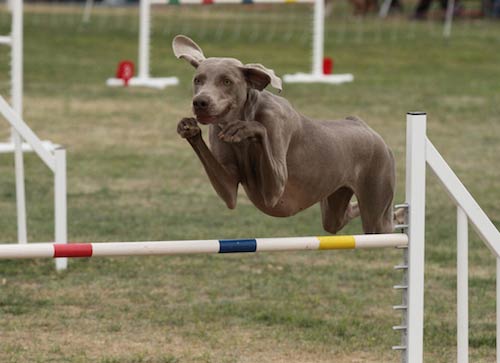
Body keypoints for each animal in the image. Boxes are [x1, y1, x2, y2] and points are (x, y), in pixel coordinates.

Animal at [174, 34, 396, 233]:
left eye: (227, 81)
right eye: (198, 80)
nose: (200, 102)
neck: (245, 112)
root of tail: (366, 127)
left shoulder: (275, 188)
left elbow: (261, 131)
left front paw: (244, 128)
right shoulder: (228, 186)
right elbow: (230, 195)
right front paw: (189, 128)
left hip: (376, 208)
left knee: (383, 223)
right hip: (334, 203)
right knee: (341, 218)